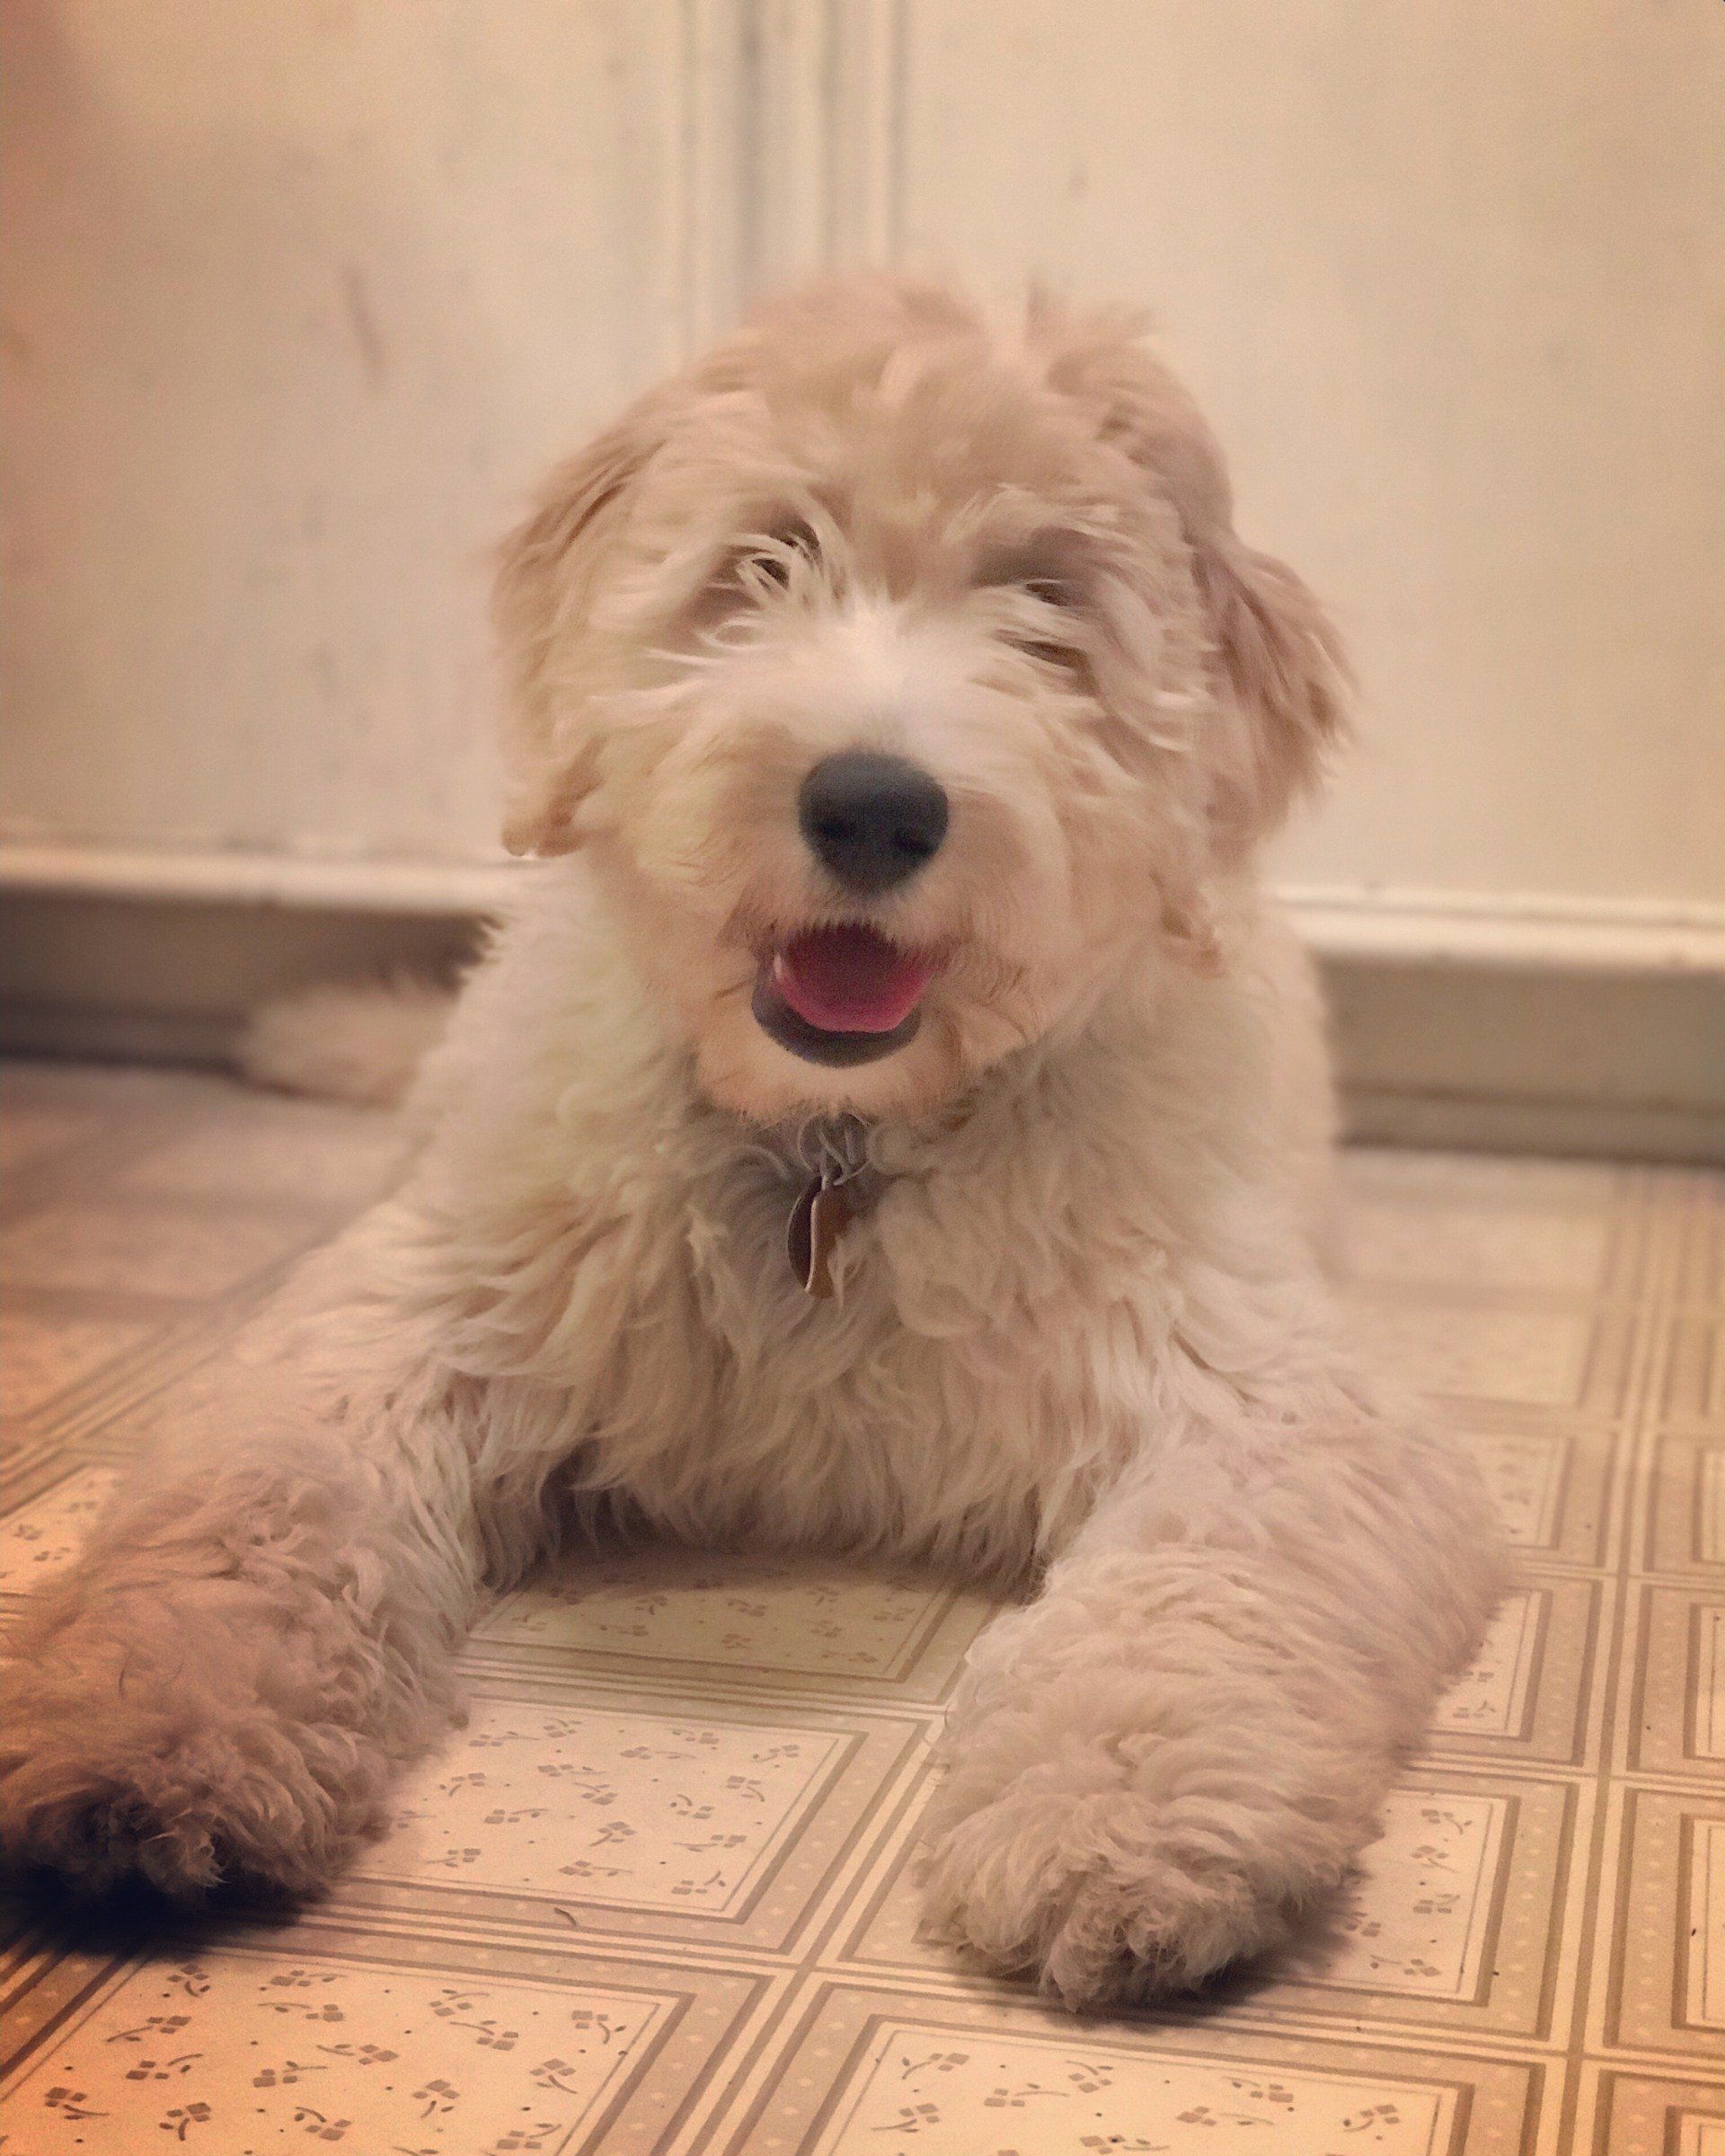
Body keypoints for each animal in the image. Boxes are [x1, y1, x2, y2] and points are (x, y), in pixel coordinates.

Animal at [0, 275, 1504, 2008]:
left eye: (1048, 603)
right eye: (766, 558)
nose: (874, 806)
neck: (834, 1152)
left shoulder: (1270, 1389)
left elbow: (1203, 1584)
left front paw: (1122, 1819)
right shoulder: (409, 1305)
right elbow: (255, 1511)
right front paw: (149, 1731)